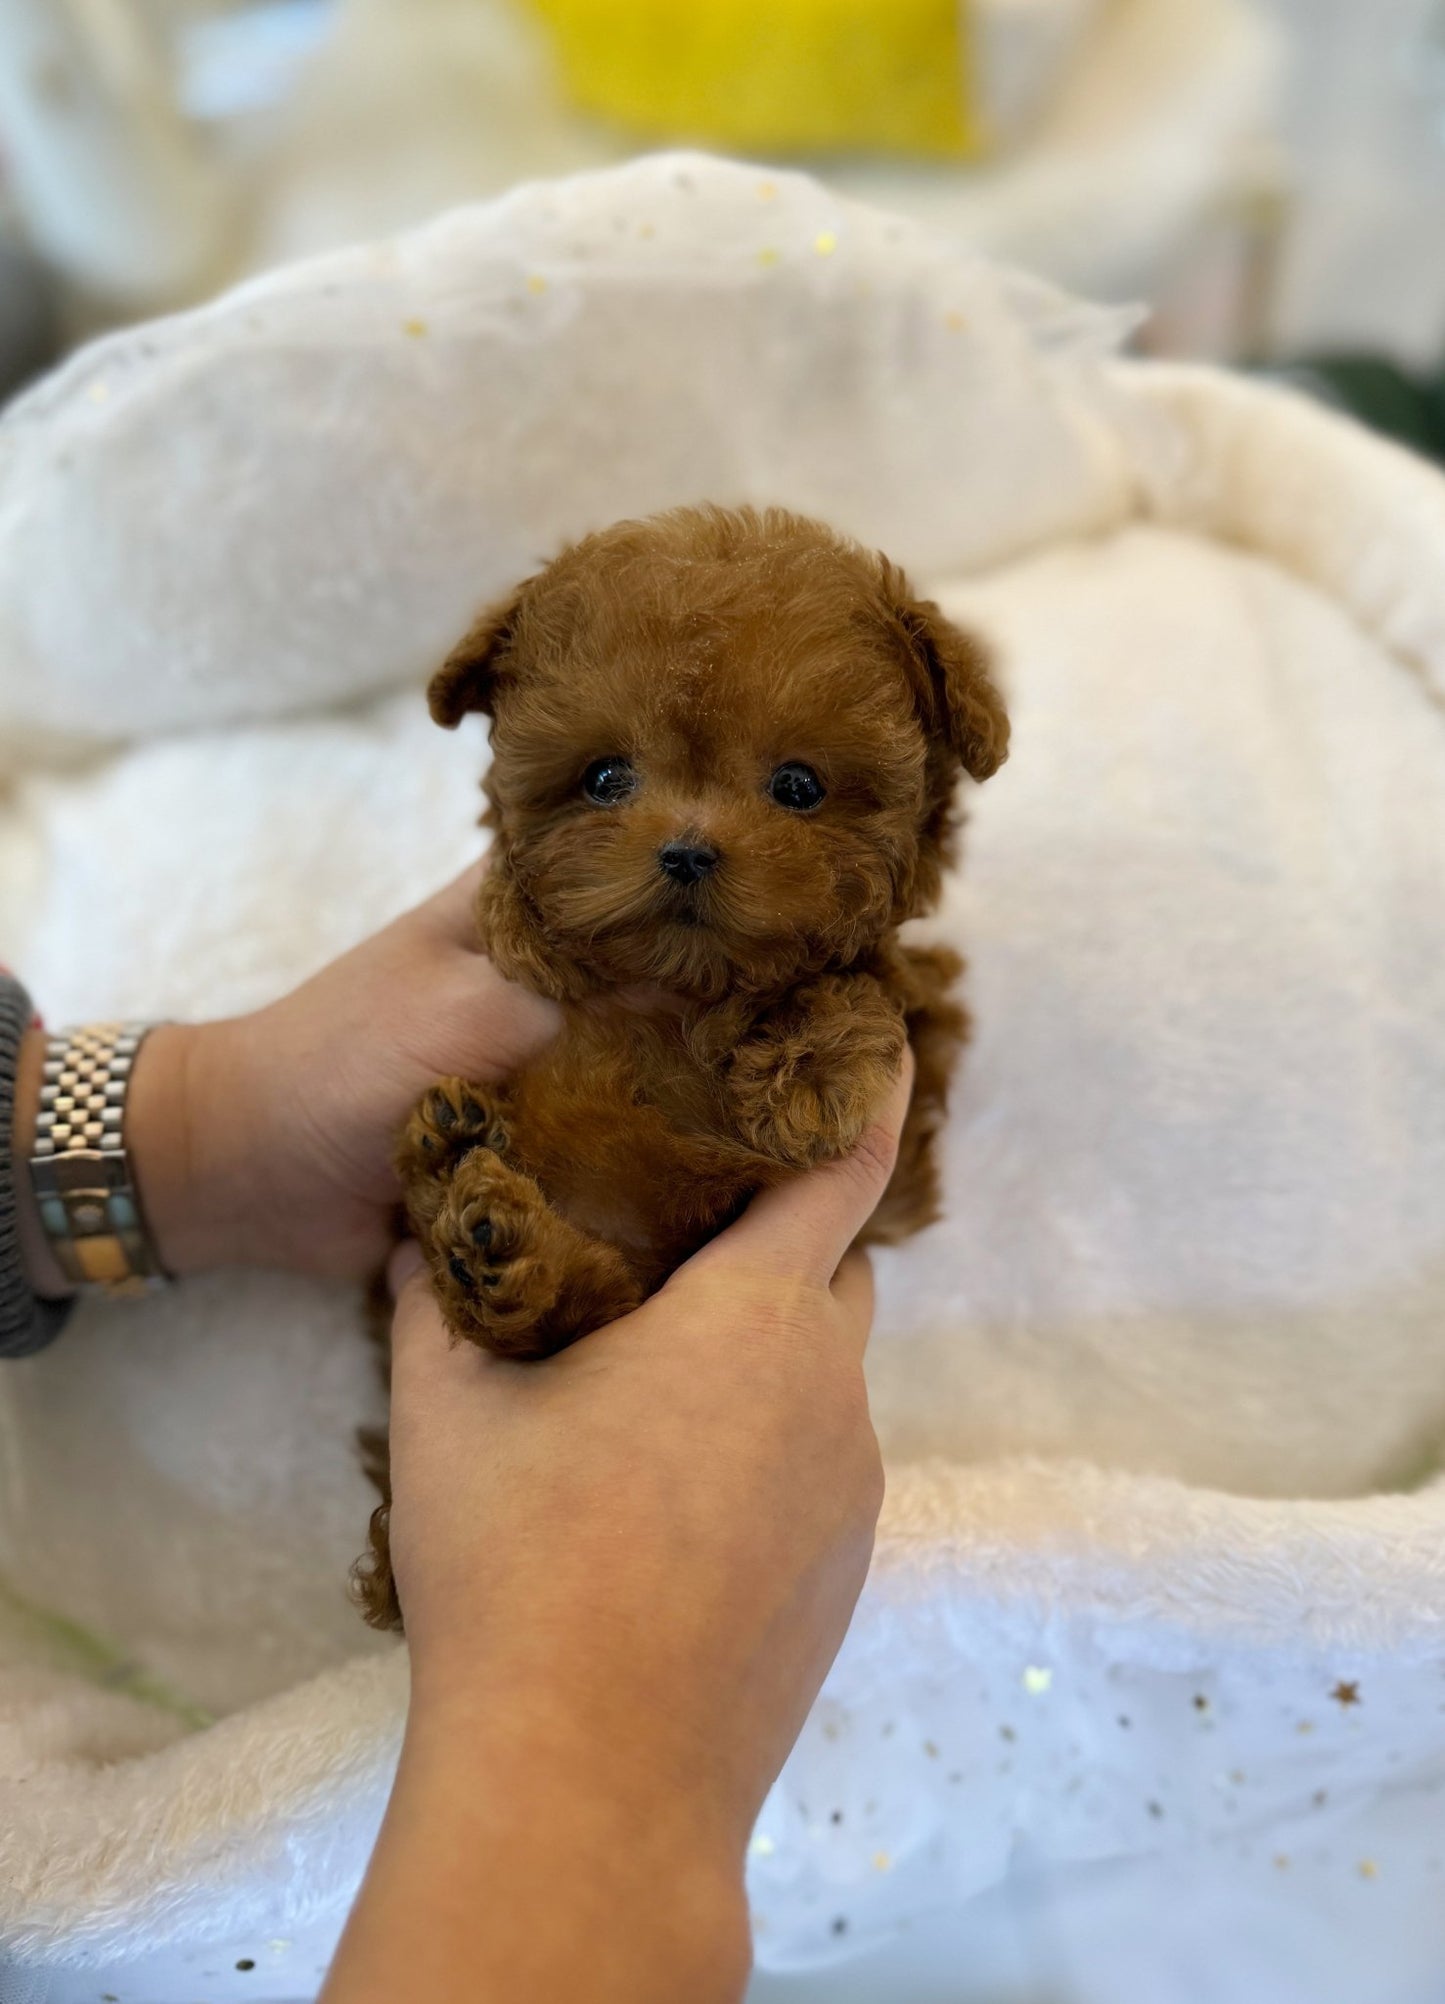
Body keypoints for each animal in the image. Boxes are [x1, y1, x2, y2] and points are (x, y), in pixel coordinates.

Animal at [352, 501, 1002, 1627]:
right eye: (605, 777)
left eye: (798, 786)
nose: (687, 850)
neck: (689, 993)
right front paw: (521, 922)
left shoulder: (907, 1112)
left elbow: (860, 985)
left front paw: (807, 1074)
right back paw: (467, 1198)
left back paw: (487, 1229)